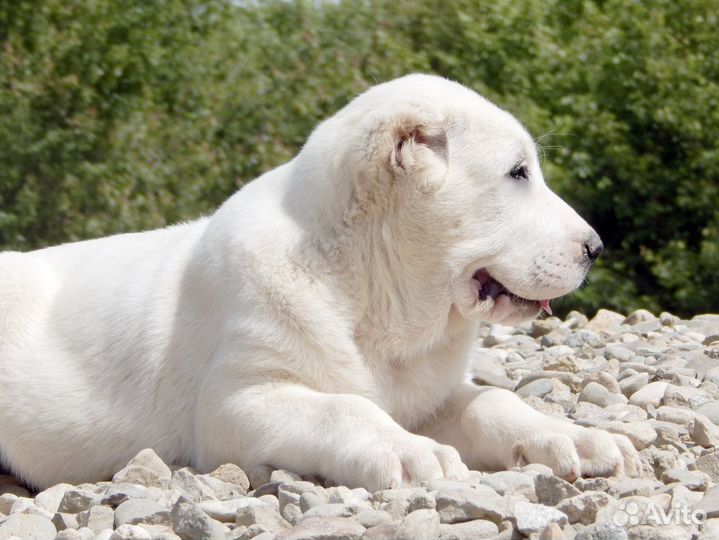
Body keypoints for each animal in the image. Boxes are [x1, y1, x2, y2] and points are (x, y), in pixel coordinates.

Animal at [0, 74, 640, 492]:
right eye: (517, 173)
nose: (596, 248)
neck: (372, 294)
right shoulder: (237, 405)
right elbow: (346, 410)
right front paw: (410, 453)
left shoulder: (431, 396)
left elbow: (494, 401)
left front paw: (571, 437)